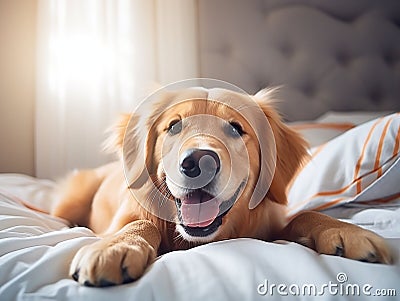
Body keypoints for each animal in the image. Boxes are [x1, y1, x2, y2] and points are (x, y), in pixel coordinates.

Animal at [51, 86, 392, 286]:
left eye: (236, 128)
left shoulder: (271, 224)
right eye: (174, 126)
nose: (197, 162)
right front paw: (116, 246)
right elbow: (138, 224)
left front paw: (346, 231)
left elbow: (304, 216)